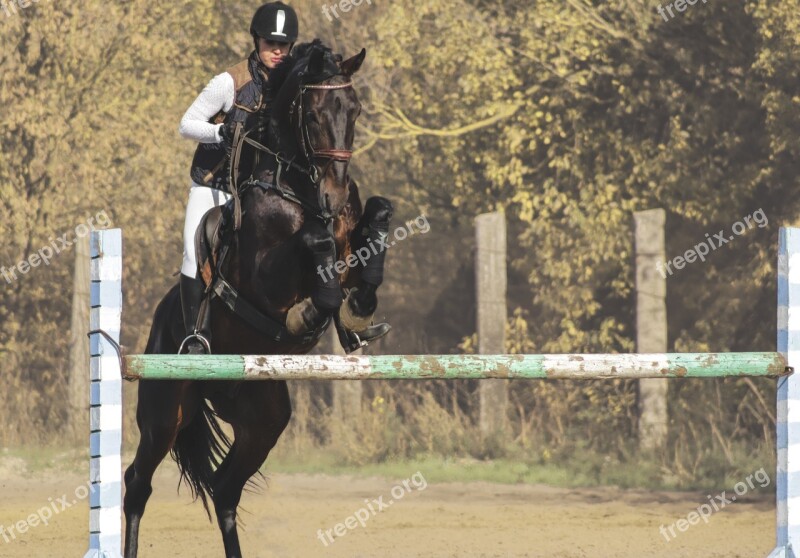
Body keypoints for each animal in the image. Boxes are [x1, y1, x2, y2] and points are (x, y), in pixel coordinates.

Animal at [123, 40, 396, 558]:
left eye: (354, 110)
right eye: (313, 114)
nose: (333, 197)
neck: (301, 187)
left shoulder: (351, 242)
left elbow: (378, 217)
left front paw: (357, 311)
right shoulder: (266, 277)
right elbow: (313, 245)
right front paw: (311, 310)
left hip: (263, 418)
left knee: (225, 488)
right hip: (166, 413)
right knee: (136, 484)